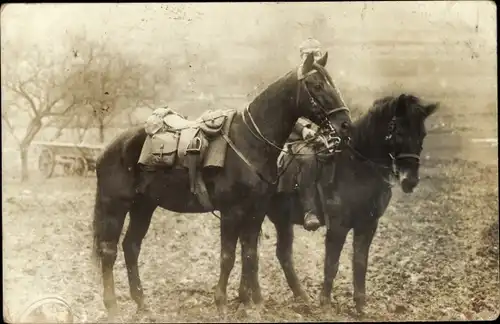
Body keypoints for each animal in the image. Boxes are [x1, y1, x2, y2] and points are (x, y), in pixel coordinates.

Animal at [92, 52, 354, 318]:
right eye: (317, 85)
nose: (345, 124)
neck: (250, 142)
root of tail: (109, 148)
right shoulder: (231, 212)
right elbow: (227, 257)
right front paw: (222, 303)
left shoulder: (256, 213)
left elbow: (250, 255)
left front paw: (253, 304)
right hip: (115, 207)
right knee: (109, 251)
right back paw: (112, 306)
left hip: (143, 206)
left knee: (131, 247)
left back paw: (141, 303)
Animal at [266, 93, 438, 314]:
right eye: (399, 132)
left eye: (422, 134)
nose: (410, 181)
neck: (357, 167)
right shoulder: (338, 226)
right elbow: (332, 264)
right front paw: (325, 303)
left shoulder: (368, 225)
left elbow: (360, 262)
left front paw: (360, 306)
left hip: (283, 220)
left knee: (284, 254)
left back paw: (302, 297)